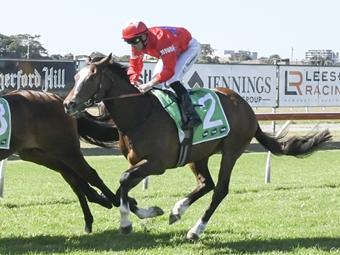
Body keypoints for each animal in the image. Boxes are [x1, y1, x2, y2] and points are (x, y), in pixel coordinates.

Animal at [0, 90, 122, 233]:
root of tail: (57, 98)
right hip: (38, 153)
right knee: (73, 177)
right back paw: (95, 208)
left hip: (66, 149)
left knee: (89, 174)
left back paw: (116, 201)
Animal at [63, 54, 332, 240]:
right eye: (75, 78)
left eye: (91, 77)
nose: (68, 104)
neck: (141, 115)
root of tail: (248, 110)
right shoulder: (137, 161)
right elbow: (122, 190)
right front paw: (150, 212)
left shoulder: (156, 164)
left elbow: (123, 181)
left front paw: (126, 224)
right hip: (197, 154)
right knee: (206, 183)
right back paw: (177, 210)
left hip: (231, 151)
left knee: (220, 189)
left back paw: (195, 230)